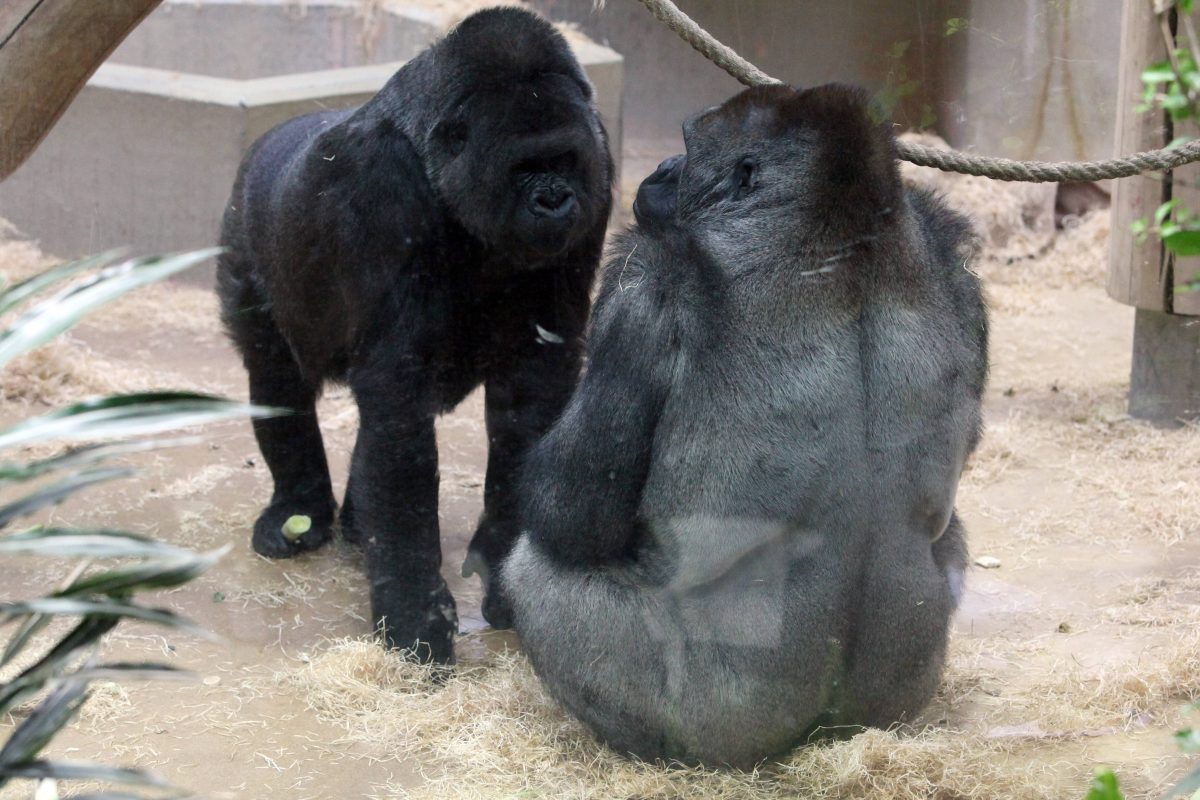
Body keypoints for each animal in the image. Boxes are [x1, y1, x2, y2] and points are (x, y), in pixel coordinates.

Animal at [217, 9, 614, 666]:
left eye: (563, 161)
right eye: (523, 168)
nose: (555, 200)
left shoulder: (598, 174)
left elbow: (530, 397)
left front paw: (506, 566)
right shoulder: (378, 192)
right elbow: (397, 406)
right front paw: (413, 614)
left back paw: (355, 522)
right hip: (243, 236)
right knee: (276, 375)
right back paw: (298, 510)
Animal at [501, 84, 988, 767]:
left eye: (686, 145)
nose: (660, 172)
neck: (829, 228)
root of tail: (814, 737)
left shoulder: (646, 280)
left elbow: (569, 514)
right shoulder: (953, 260)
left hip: (715, 726)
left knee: (538, 572)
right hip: (898, 697)